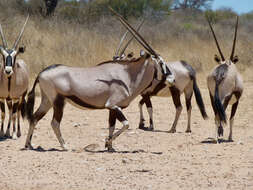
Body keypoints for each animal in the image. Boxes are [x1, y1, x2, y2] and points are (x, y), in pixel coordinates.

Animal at [24, 9, 175, 151]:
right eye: (161, 62)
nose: (172, 79)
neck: (128, 75)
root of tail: (42, 73)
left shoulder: (112, 109)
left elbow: (111, 126)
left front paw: (110, 147)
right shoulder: (113, 105)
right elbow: (126, 124)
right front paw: (107, 142)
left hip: (47, 101)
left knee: (34, 118)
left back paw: (29, 144)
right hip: (58, 102)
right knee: (54, 123)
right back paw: (65, 146)